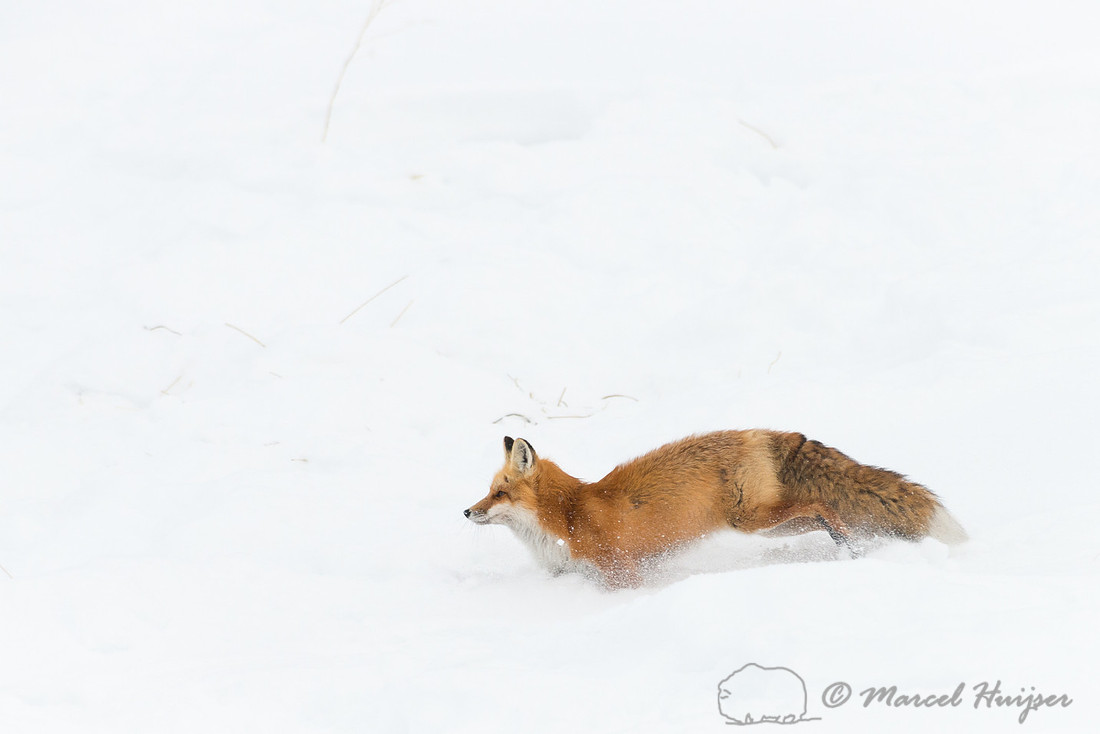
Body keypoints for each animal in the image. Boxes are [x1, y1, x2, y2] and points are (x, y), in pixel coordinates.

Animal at [464, 431, 966, 588]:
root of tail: (757, 432)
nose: (467, 513)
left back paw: (848, 548)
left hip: (754, 520)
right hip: (771, 526)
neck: (567, 515)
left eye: (499, 494)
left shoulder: (620, 572)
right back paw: (851, 547)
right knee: (822, 513)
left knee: (823, 504)